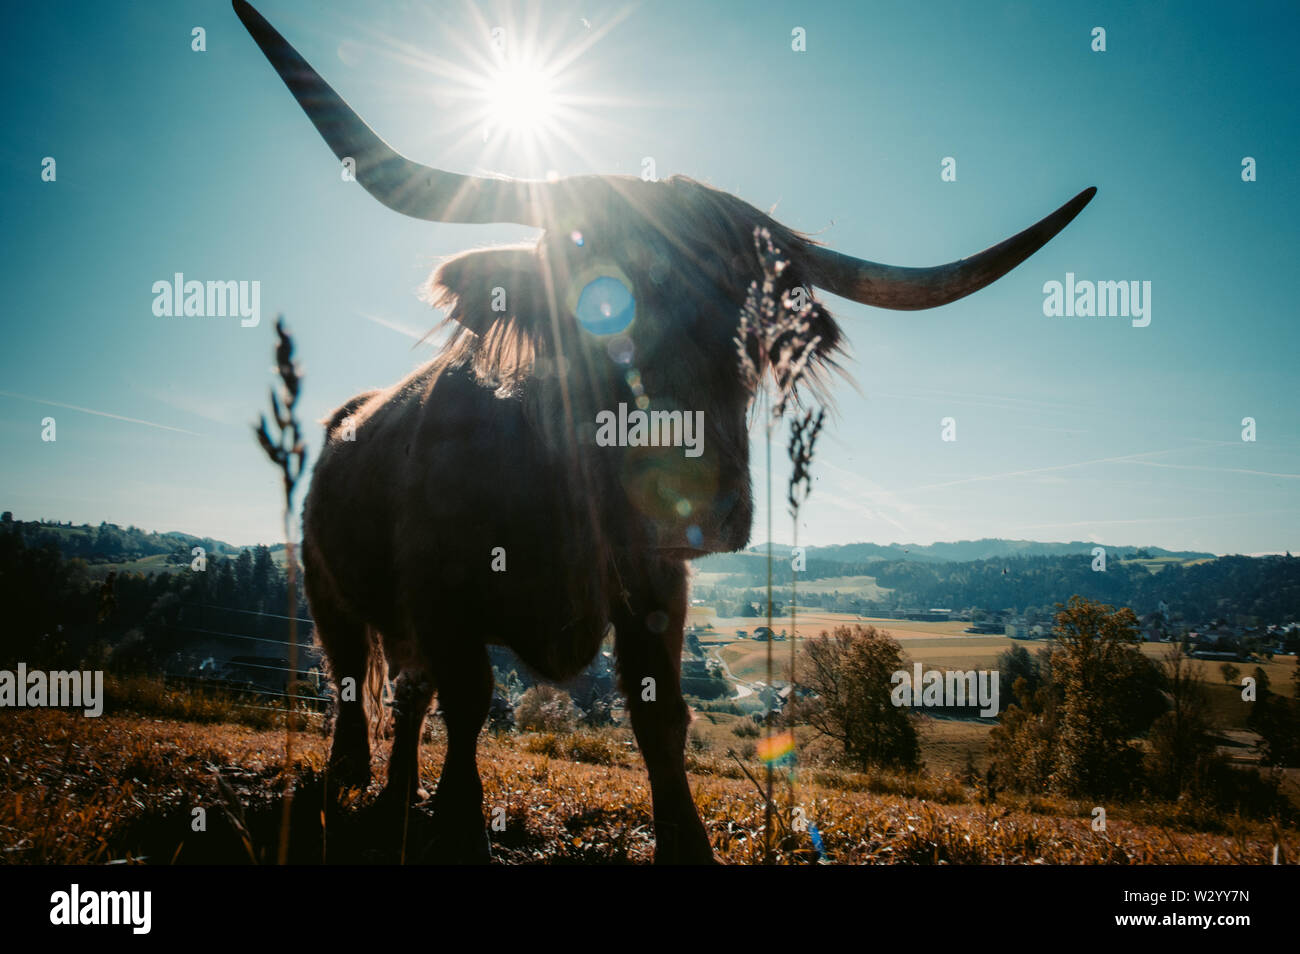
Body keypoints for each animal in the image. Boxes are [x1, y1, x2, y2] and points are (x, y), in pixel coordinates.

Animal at [233, 0, 1094, 863]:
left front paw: (686, 842)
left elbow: (660, 715)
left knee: (406, 696)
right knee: (354, 678)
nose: (697, 506)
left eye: (758, 332)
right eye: (589, 306)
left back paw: (395, 790)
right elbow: (469, 699)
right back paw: (351, 779)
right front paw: (459, 823)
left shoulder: (654, 584)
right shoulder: (443, 590)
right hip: (328, 586)